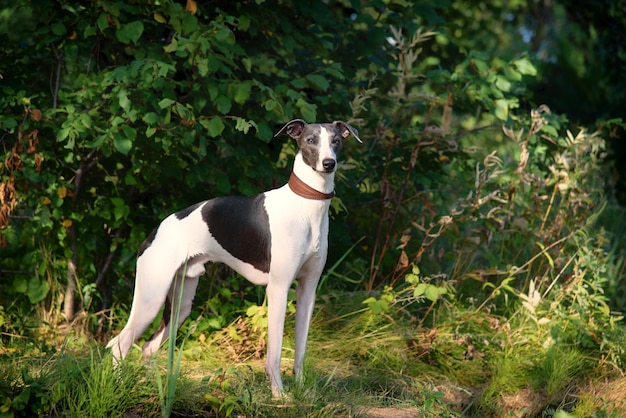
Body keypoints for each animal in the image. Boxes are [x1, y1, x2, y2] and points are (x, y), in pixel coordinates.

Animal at [106, 118, 360, 398]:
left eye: (336, 140)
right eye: (311, 140)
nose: (329, 163)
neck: (305, 206)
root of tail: (154, 232)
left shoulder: (308, 289)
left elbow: (301, 350)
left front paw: (303, 390)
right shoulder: (278, 288)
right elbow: (274, 351)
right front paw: (279, 394)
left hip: (180, 304)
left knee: (148, 347)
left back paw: (153, 386)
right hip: (151, 297)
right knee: (120, 343)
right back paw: (119, 386)